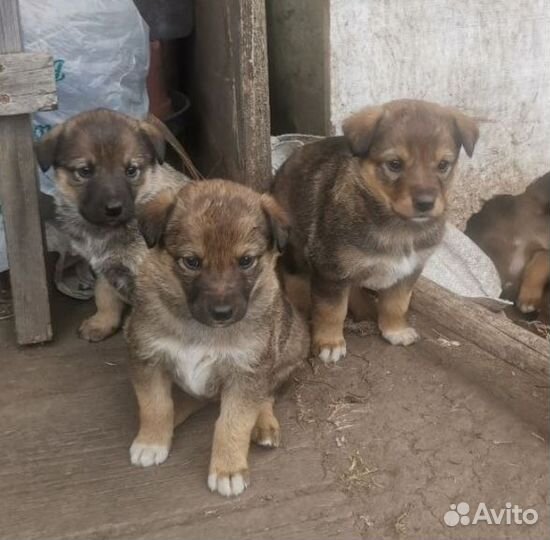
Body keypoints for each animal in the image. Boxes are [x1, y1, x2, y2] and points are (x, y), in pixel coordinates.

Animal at [35, 107, 190, 340]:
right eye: (85, 171)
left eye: (131, 170)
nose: (114, 209)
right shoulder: (102, 269)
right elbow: (104, 296)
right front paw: (102, 322)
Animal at [126, 180, 312, 498]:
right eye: (191, 261)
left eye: (246, 261)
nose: (222, 313)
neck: (201, 328)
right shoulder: (147, 357)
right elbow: (155, 405)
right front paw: (152, 441)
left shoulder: (247, 372)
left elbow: (232, 423)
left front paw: (228, 470)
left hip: (286, 354)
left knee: (266, 396)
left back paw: (264, 425)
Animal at [274, 100, 480, 362]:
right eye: (394, 164)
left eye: (443, 165)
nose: (425, 204)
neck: (400, 227)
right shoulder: (331, 270)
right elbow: (331, 311)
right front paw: (329, 343)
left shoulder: (409, 270)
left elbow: (397, 304)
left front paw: (395, 330)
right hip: (296, 246)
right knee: (294, 278)